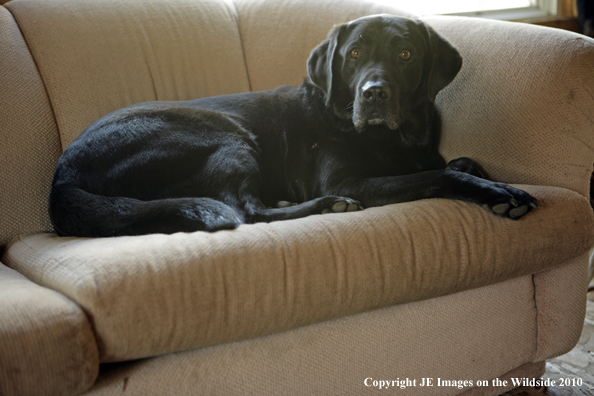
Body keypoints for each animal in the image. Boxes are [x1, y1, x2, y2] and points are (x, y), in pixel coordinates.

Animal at [49, 14, 536, 238]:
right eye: (354, 54)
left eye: (406, 55)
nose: (374, 93)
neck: (397, 137)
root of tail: (62, 177)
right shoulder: (351, 180)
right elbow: (442, 174)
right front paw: (501, 194)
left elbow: (460, 161)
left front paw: (484, 176)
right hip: (223, 133)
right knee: (245, 210)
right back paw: (326, 207)